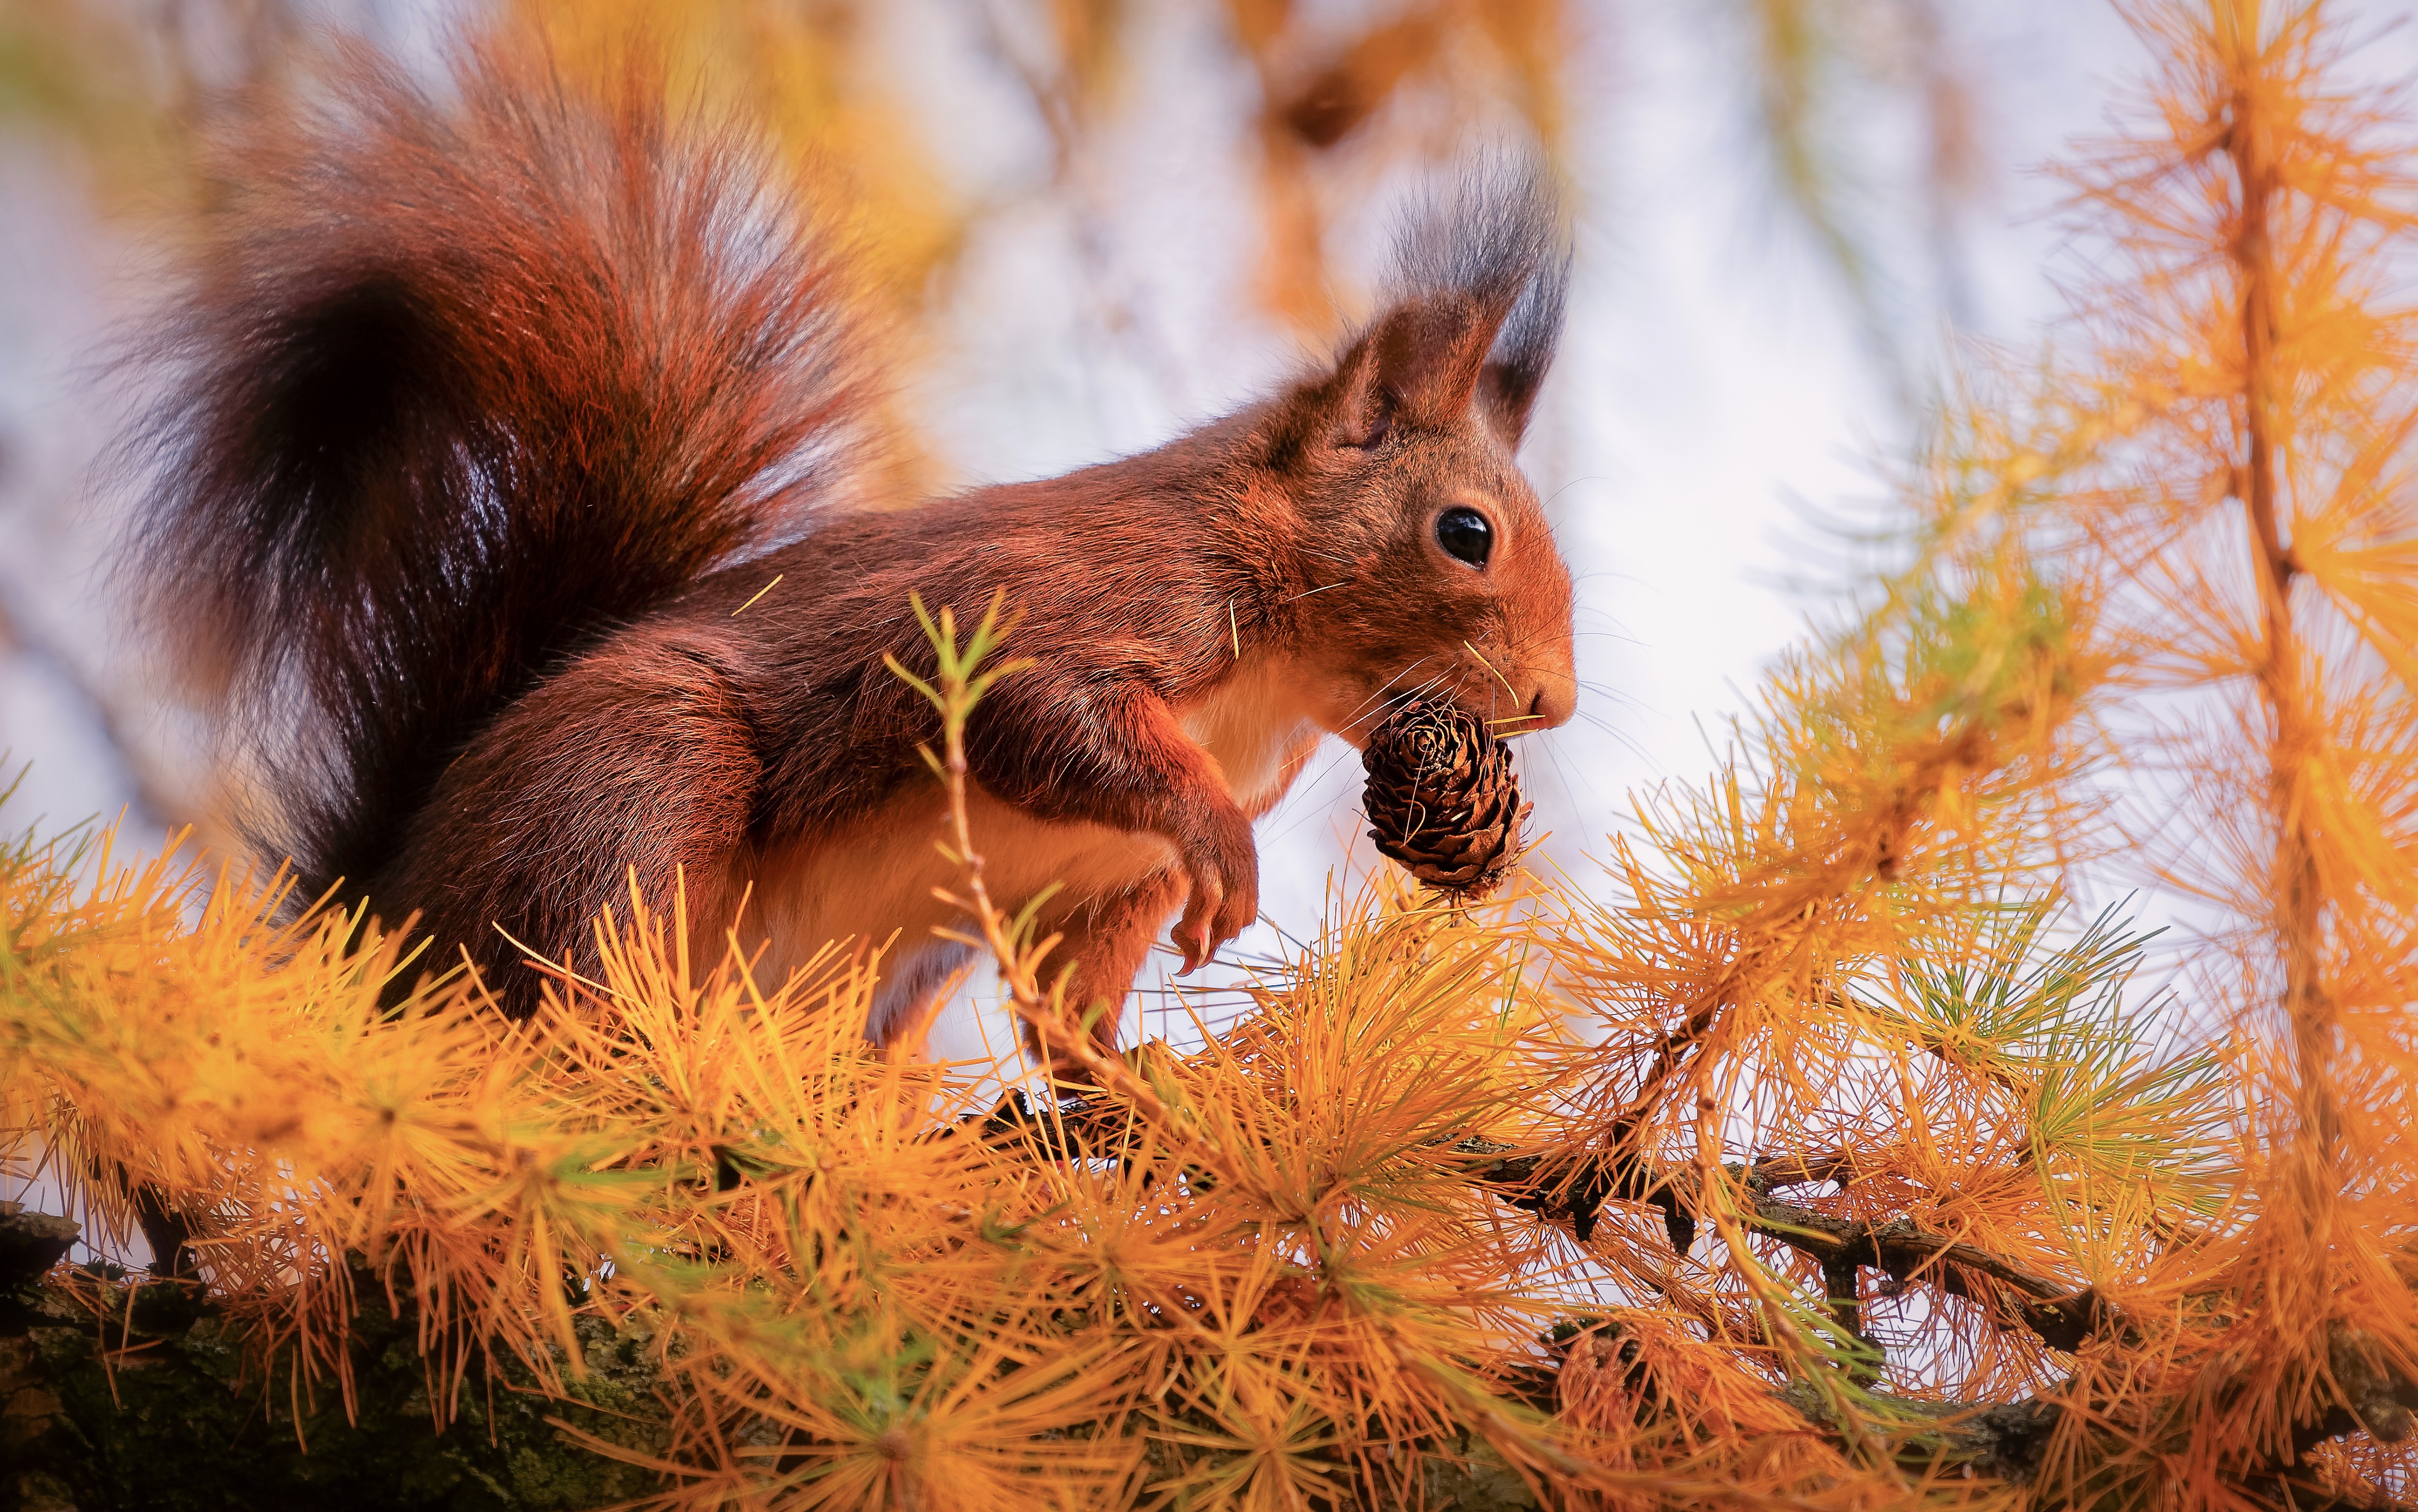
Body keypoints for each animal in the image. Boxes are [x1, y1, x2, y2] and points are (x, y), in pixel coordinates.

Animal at [122, 29, 1576, 1055]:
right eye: (1465, 533)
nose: (1551, 703)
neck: (1278, 682)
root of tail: (379, 918)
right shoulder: (1067, 605)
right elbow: (1043, 713)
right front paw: (1220, 844)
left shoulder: (1103, 888)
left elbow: (1066, 1008)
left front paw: (1131, 1087)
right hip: (633, 783)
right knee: (569, 966)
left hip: (867, 981)